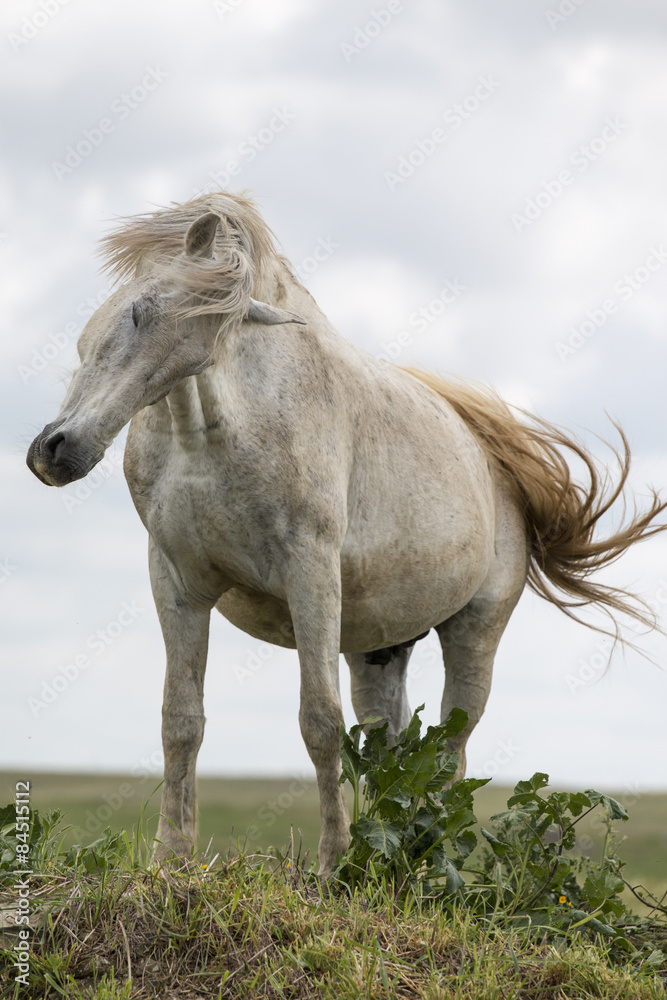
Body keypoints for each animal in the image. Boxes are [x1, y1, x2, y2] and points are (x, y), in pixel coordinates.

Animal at [27, 192, 666, 874]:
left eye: (152, 318)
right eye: (124, 314)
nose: (56, 452)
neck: (210, 439)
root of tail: (495, 461)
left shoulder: (309, 572)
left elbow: (319, 721)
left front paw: (332, 862)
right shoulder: (177, 581)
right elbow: (181, 720)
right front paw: (172, 859)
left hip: (474, 631)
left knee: (451, 750)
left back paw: (420, 863)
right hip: (379, 649)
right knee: (394, 749)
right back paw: (395, 855)